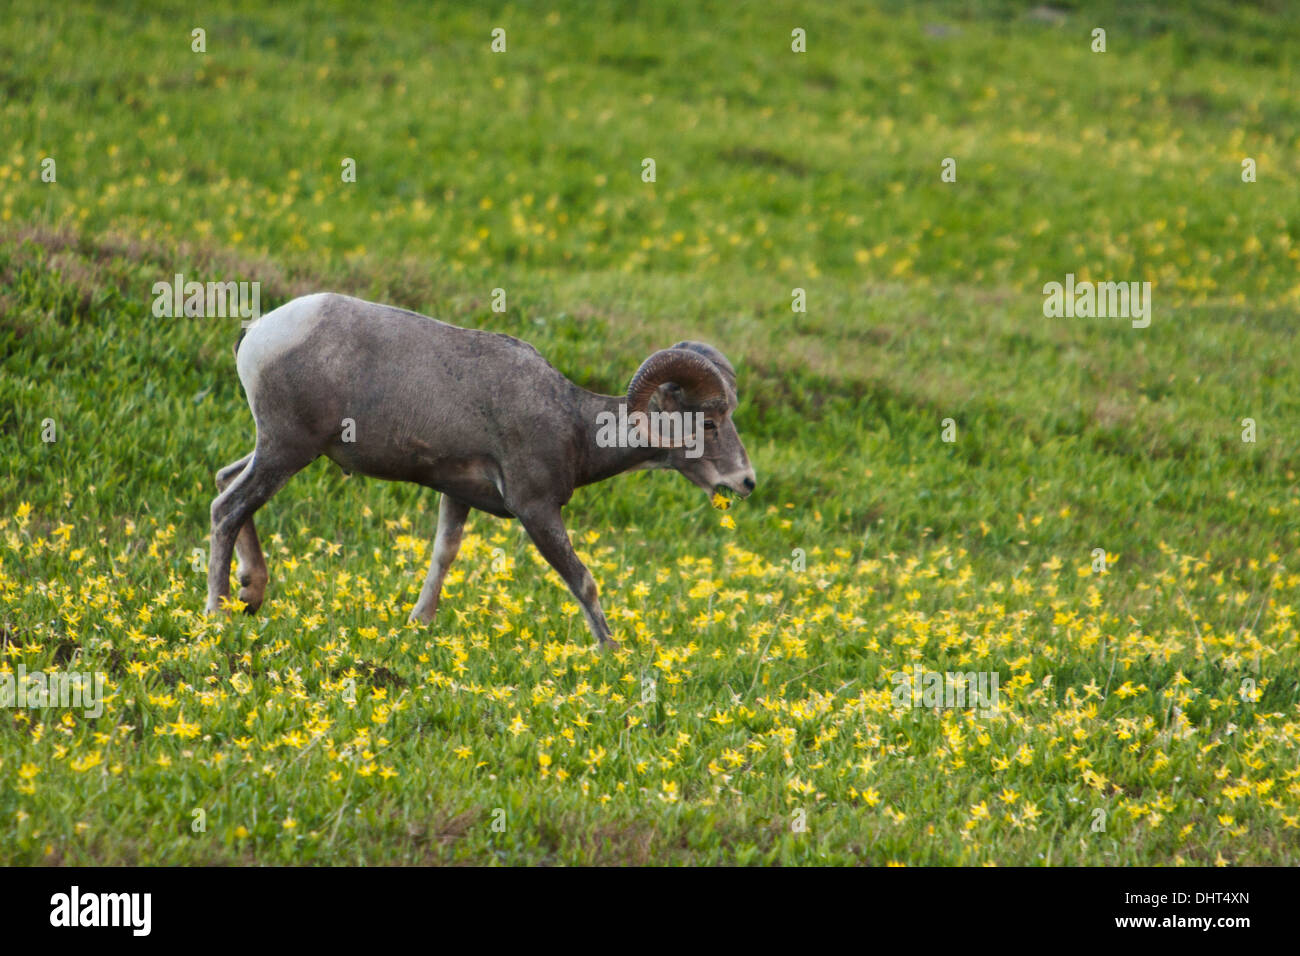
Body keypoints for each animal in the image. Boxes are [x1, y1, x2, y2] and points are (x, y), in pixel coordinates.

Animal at [206, 293, 759, 650]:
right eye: (710, 422)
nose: (745, 482)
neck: (573, 424)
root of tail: (258, 333)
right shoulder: (536, 509)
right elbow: (583, 581)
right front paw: (612, 652)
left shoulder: (458, 495)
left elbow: (442, 557)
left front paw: (419, 625)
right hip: (286, 450)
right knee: (227, 508)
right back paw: (216, 613)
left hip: (279, 450)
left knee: (225, 484)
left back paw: (250, 596)